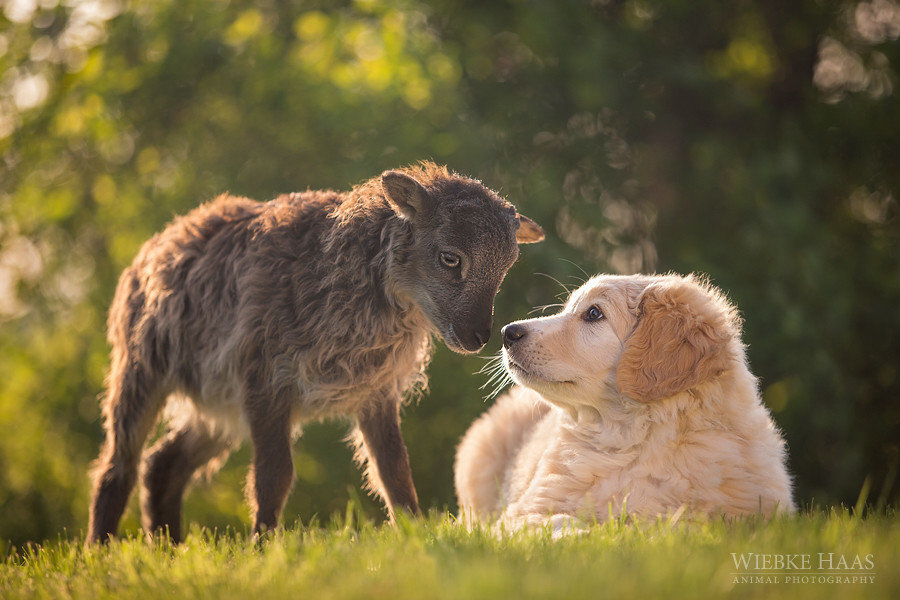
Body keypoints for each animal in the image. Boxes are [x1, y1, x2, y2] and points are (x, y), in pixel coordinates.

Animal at [88, 161, 544, 544]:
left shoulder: (375, 391)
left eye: (504, 267)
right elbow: (274, 475)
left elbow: (394, 470)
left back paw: (169, 547)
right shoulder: (266, 382)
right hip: (141, 370)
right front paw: (261, 547)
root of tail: (158, 241)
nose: (477, 337)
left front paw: (415, 536)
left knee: (163, 464)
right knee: (117, 467)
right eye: (450, 257)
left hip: (218, 408)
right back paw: (102, 550)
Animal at [458, 274, 796, 532]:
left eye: (594, 313)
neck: (633, 440)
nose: (507, 332)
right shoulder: (524, 511)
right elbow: (558, 521)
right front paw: (585, 536)